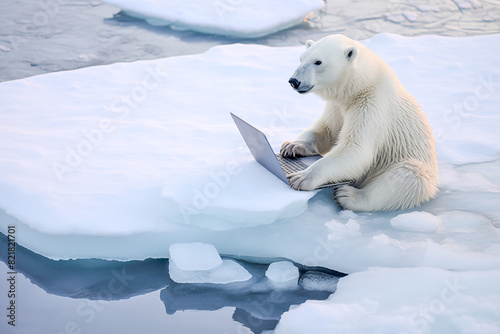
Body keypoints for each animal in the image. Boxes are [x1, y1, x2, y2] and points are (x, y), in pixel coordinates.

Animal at [282, 34, 438, 211]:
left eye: (318, 62)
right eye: (301, 58)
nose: (294, 81)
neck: (361, 85)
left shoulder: (372, 104)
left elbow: (355, 148)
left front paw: (301, 177)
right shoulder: (338, 105)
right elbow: (327, 129)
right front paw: (292, 146)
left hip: (412, 165)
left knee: (407, 177)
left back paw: (348, 195)